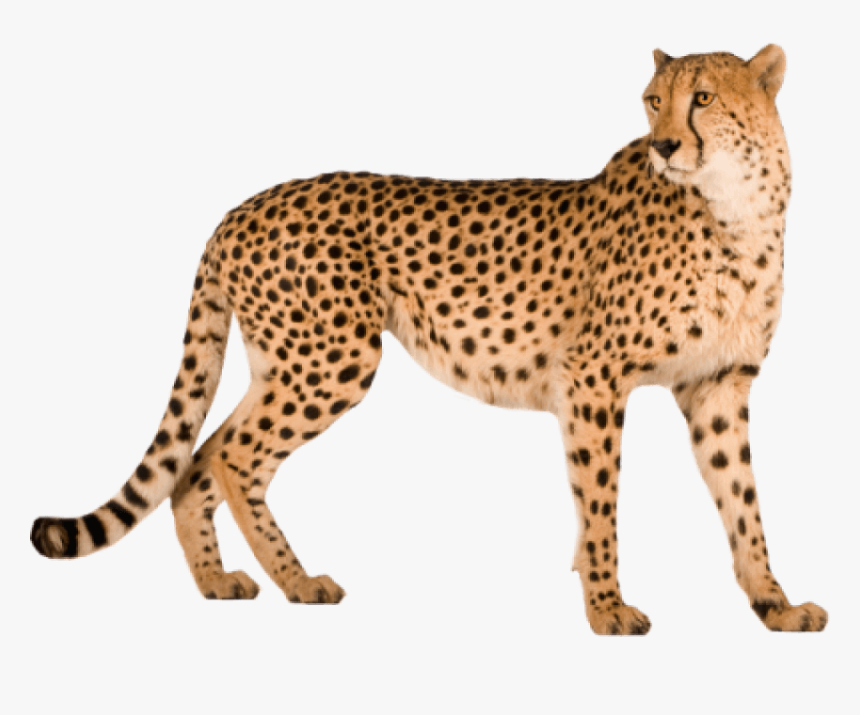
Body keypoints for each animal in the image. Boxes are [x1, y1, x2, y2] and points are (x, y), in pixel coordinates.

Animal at [31, 45, 827, 635]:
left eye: (704, 99)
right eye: (653, 100)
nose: (663, 144)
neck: (737, 206)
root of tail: (240, 207)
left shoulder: (718, 385)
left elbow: (743, 501)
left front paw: (775, 603)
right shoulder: (592, 377)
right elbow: (600, 501)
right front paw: (606, 606)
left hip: (284, 363)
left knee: (196, 458)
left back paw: (218, 580)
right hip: (333, 359)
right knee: (231, 456)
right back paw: (297, 580)